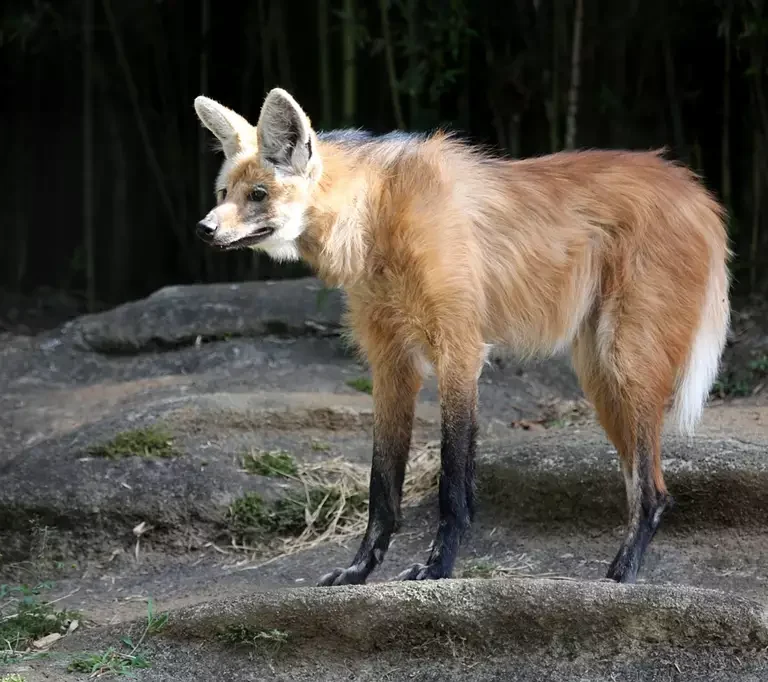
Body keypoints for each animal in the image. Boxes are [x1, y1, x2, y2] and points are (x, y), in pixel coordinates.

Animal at [193, 87, 730, 586]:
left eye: (258, 194)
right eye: (222, 193)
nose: (204, 228)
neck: (375, 216)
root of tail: (696, 190)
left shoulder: (459, 349)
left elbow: (452, 482)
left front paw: (437, 568)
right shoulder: (391, 363)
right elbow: (381, 485)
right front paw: (357, 572)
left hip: (625, 361)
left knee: (655, 491)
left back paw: (621, 575)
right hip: (599, 376)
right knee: (640, 482)